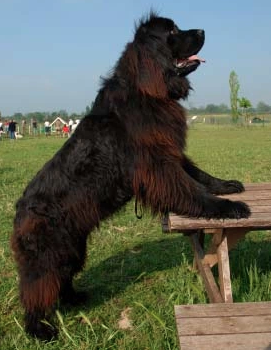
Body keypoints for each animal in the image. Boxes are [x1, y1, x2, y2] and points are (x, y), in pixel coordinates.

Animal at [11, 13, 252, 340]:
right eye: (172, 31)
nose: (203, 30)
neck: (147, 91)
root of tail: (19, 212)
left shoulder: (169, 153)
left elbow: (198, 174)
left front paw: (227, 186)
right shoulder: (156, 163)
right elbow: (189, 188)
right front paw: (227, 207)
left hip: (73, 247)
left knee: (62, 278)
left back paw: (75, 298)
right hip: (47, 254)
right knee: (37, 289)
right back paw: (40, 329)